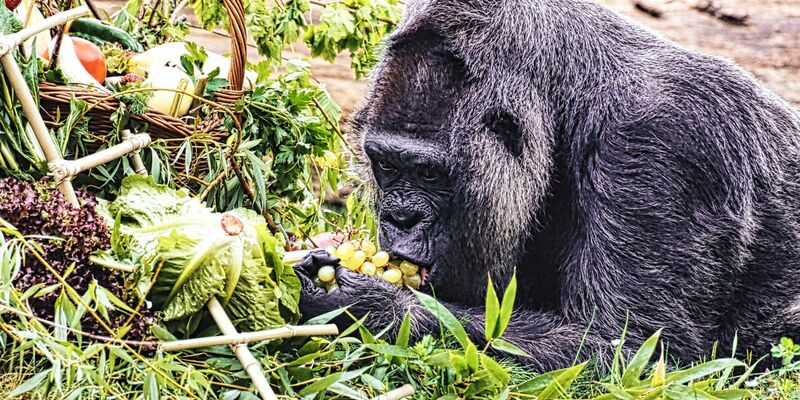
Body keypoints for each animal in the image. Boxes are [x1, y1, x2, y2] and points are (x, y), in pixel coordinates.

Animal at [294, 0, 800, 372]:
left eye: (427, 174)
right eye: (386, 165)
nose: (399, 217)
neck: (572, 99)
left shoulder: (663, 142)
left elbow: (633, 352)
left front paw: (368, 305)